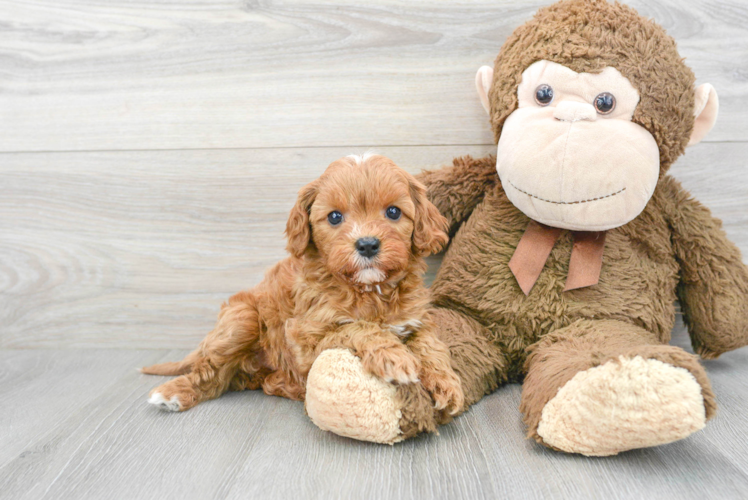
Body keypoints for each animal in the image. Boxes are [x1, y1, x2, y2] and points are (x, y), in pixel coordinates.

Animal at [142, 154, 462, 416]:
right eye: (335, 217)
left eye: (394, 212)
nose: (367, 245)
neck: (369, 290)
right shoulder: (306, 339)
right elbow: (357, 328)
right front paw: (394, 356)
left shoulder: (417, 319)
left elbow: (431, 346)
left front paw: (447, 384)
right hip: (241, 319)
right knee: (211, 374)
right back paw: (173, 393)